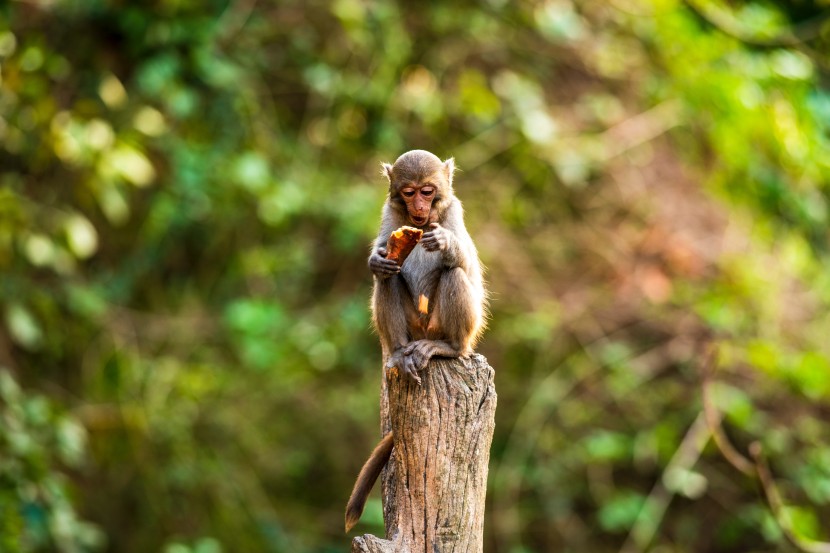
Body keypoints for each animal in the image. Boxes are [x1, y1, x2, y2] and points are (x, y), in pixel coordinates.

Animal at [344, 149, 488, 532]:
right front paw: (376, 260)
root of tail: (422, 336)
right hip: (411, 327)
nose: (420, 208)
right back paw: (397, 354)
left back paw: (447, 349)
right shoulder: (390, 215)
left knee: (454, 275)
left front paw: (446, 245)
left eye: (428, 191)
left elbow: (467, 268)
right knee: (388, 281)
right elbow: (383, 261)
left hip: (446, 328)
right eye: (408, 193)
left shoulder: (454, 212)